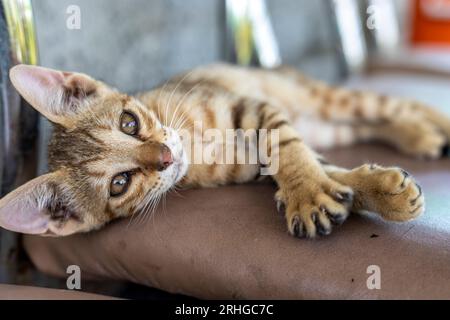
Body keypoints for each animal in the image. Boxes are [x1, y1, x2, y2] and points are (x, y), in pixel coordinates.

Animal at [0, 63, 450, 238]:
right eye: (120, 184)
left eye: (129, 123)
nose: (165, 156)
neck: (195, 145)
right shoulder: (255, 165)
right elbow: (329, 172)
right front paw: (379, 191)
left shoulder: (251, 107)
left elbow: (285, 145)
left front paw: (307, 191)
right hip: (327, 126)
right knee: (369, 123)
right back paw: (416, 136)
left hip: (323, 100)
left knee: (391, 105)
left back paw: (433, 126)